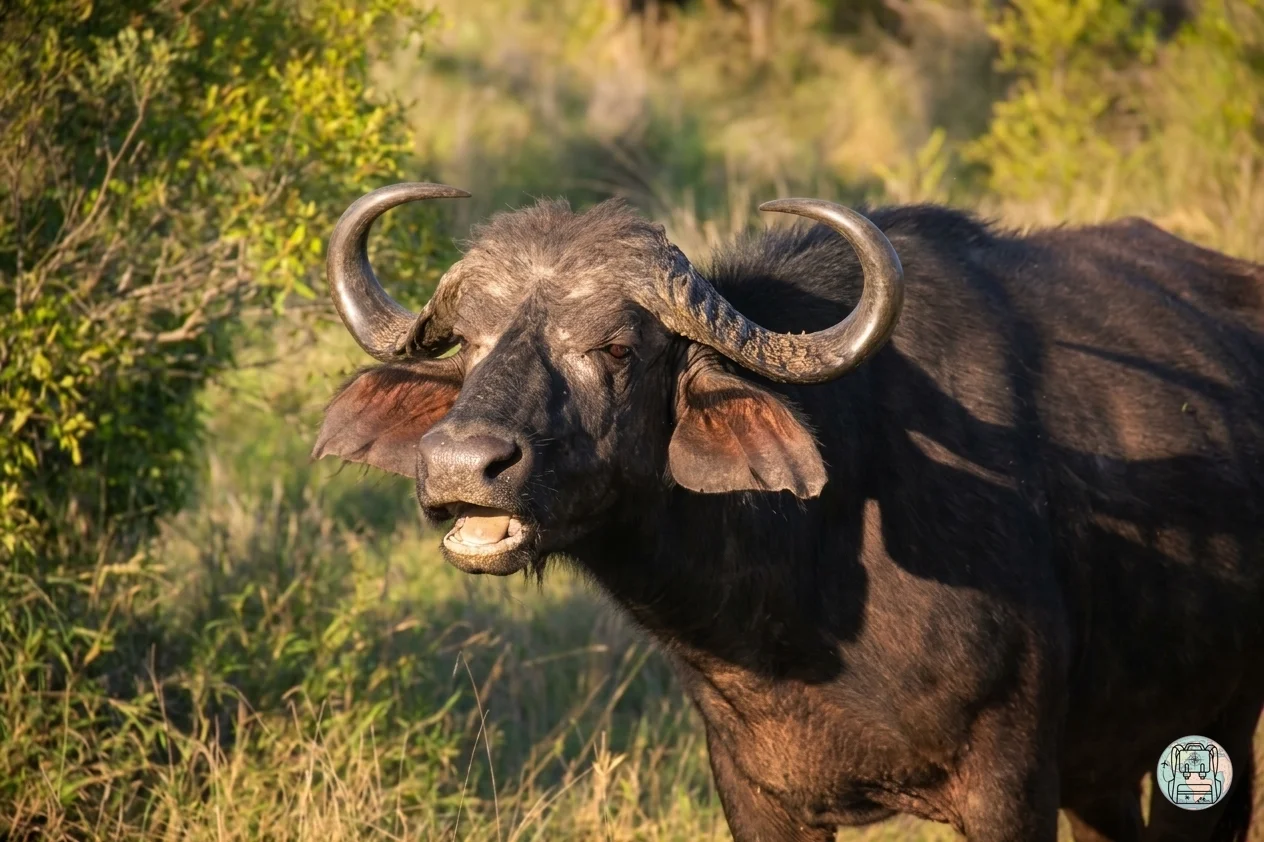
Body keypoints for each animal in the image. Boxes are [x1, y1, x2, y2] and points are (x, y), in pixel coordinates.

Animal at [313, 182, 1264, 841]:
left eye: (617, 346)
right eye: (472, 343)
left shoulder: (1010, 786)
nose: (459, 463)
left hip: (1215, 739)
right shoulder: (758, 797)